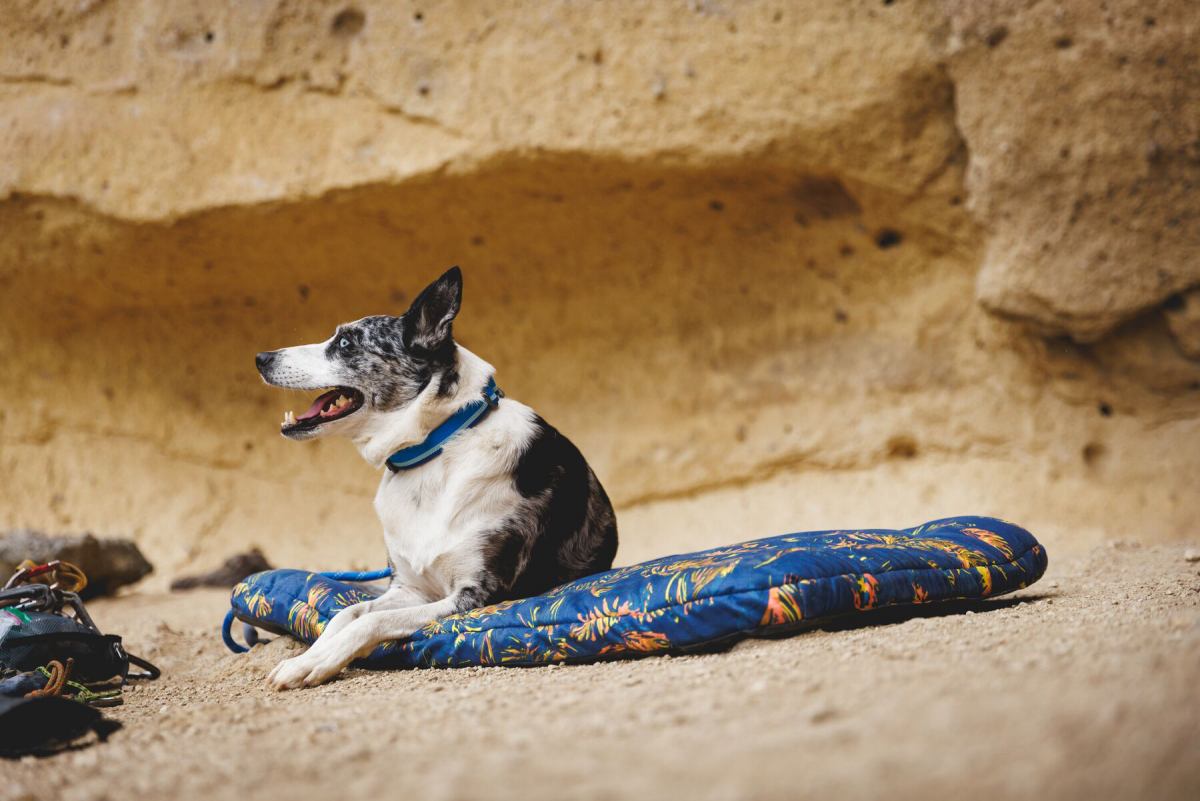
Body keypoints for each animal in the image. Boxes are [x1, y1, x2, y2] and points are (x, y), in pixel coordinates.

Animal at [254, 267, 619, 690]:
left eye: (345, 343)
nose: (261, 358)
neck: (434, 449)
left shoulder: (476, 596)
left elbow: (372, 622)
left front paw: (317, 663)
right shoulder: (410, 588)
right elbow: (347, 615)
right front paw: (306, 659)